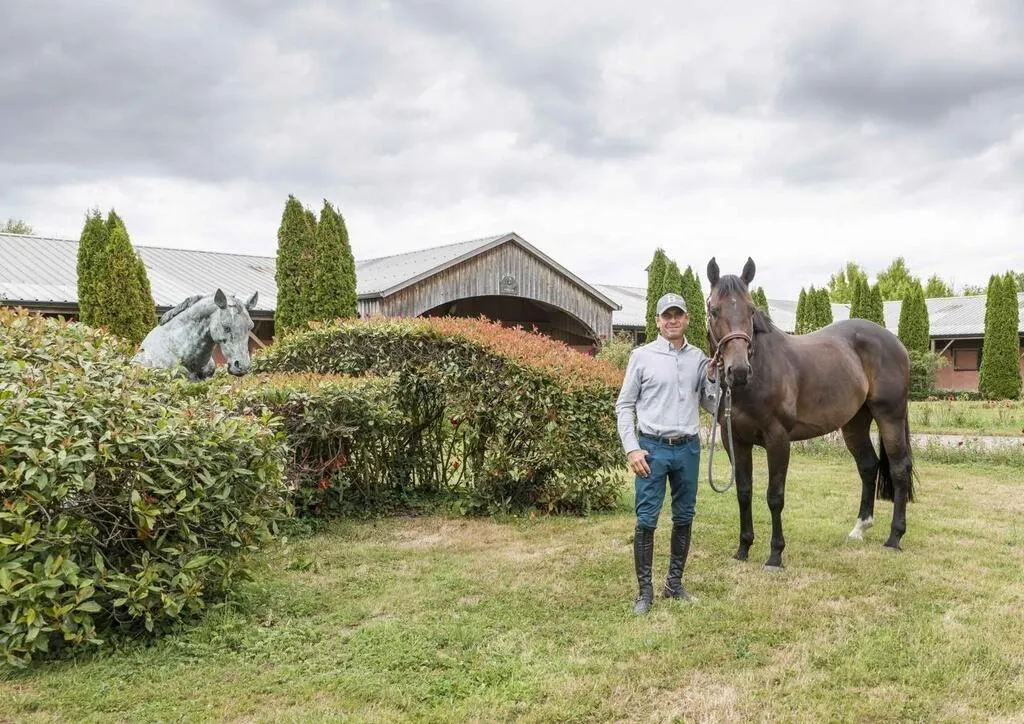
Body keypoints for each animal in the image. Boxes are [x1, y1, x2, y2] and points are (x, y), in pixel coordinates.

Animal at [704, 257, 914, 570]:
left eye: (750, 309)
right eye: (714, 309)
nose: (739, 371)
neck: (761, 371)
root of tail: (895, 342)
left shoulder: (777, 440)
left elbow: (774, 496)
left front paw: (775, 555)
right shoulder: (735, 441)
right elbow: (744, 492)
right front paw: (743, 548)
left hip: (891, 417)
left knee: (900, 469)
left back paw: (894, 537)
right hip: (854, 423)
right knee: (868, 466)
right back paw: (859, 528)